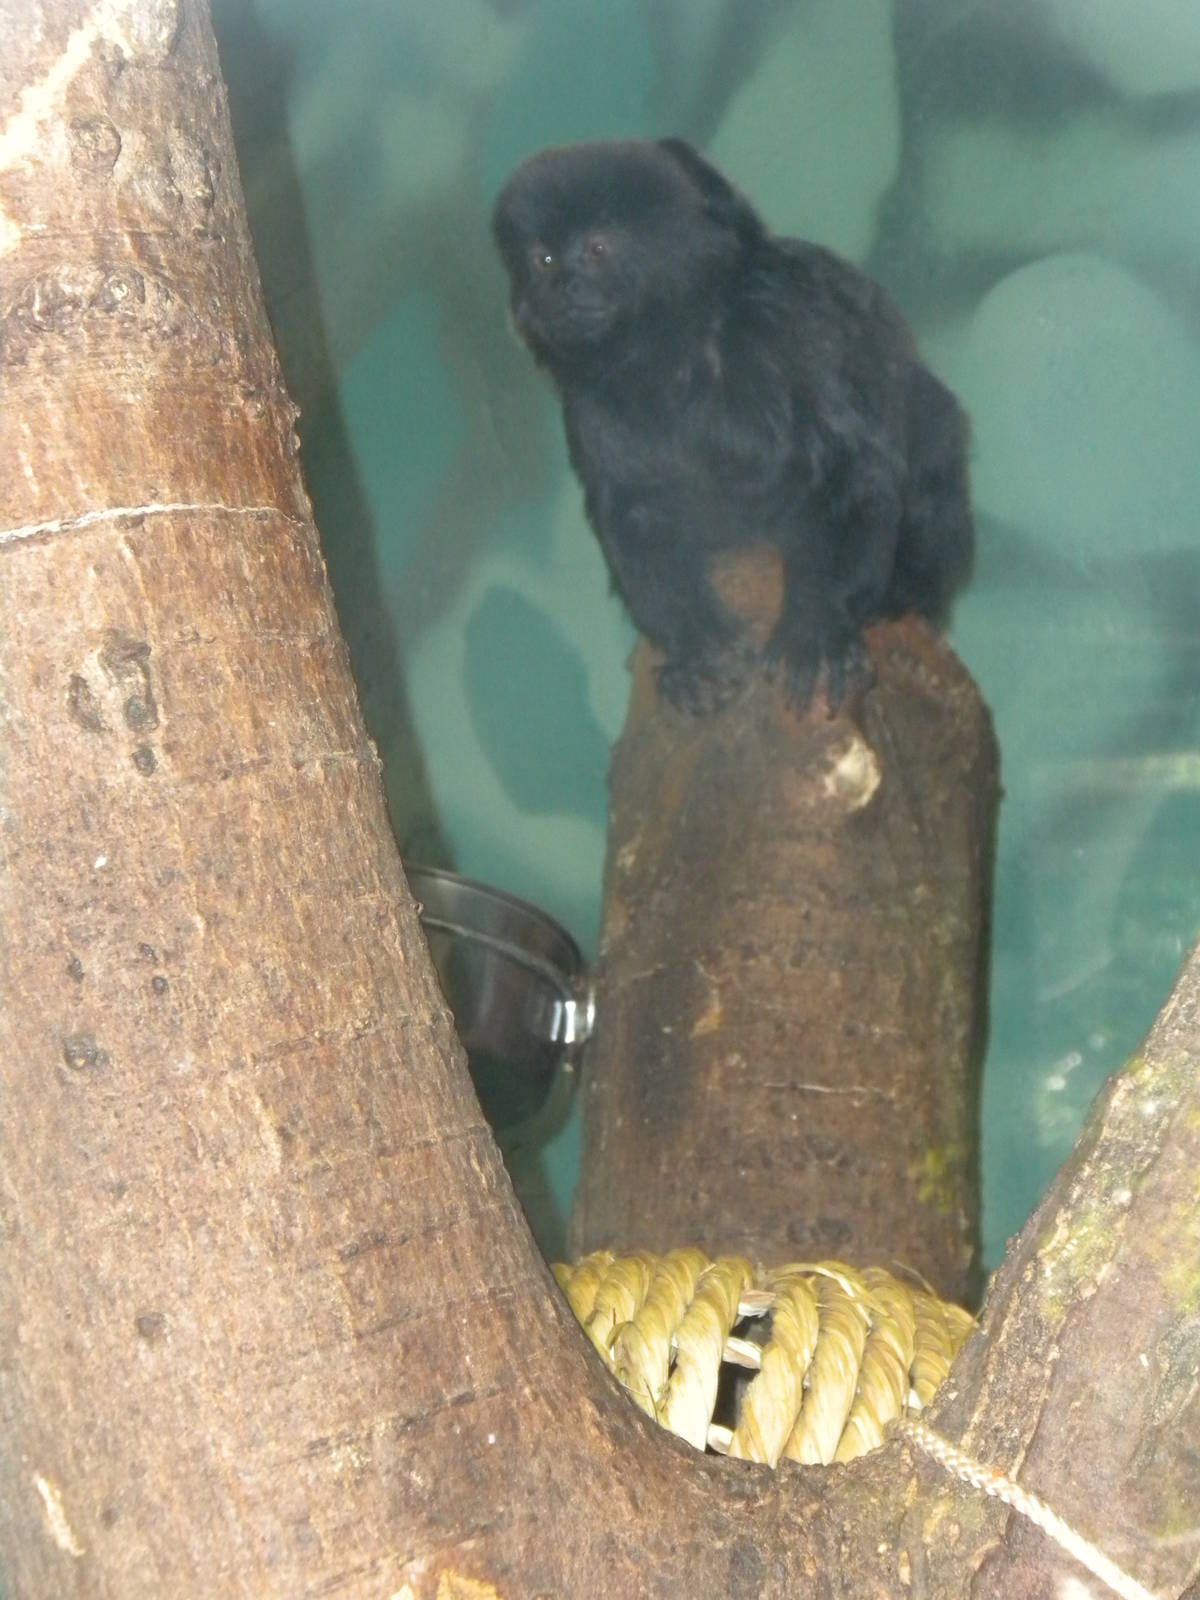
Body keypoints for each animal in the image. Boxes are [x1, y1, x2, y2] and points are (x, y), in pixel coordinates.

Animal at [492, 137, 973, 714]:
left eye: (596, 249)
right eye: (543, 259)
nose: (565, 285)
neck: (671, 355)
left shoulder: (795, 324)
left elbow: (851, 470)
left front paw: (815, 630)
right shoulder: (589, 404)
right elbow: (634, 508)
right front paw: (693, 649)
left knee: (929, 428)